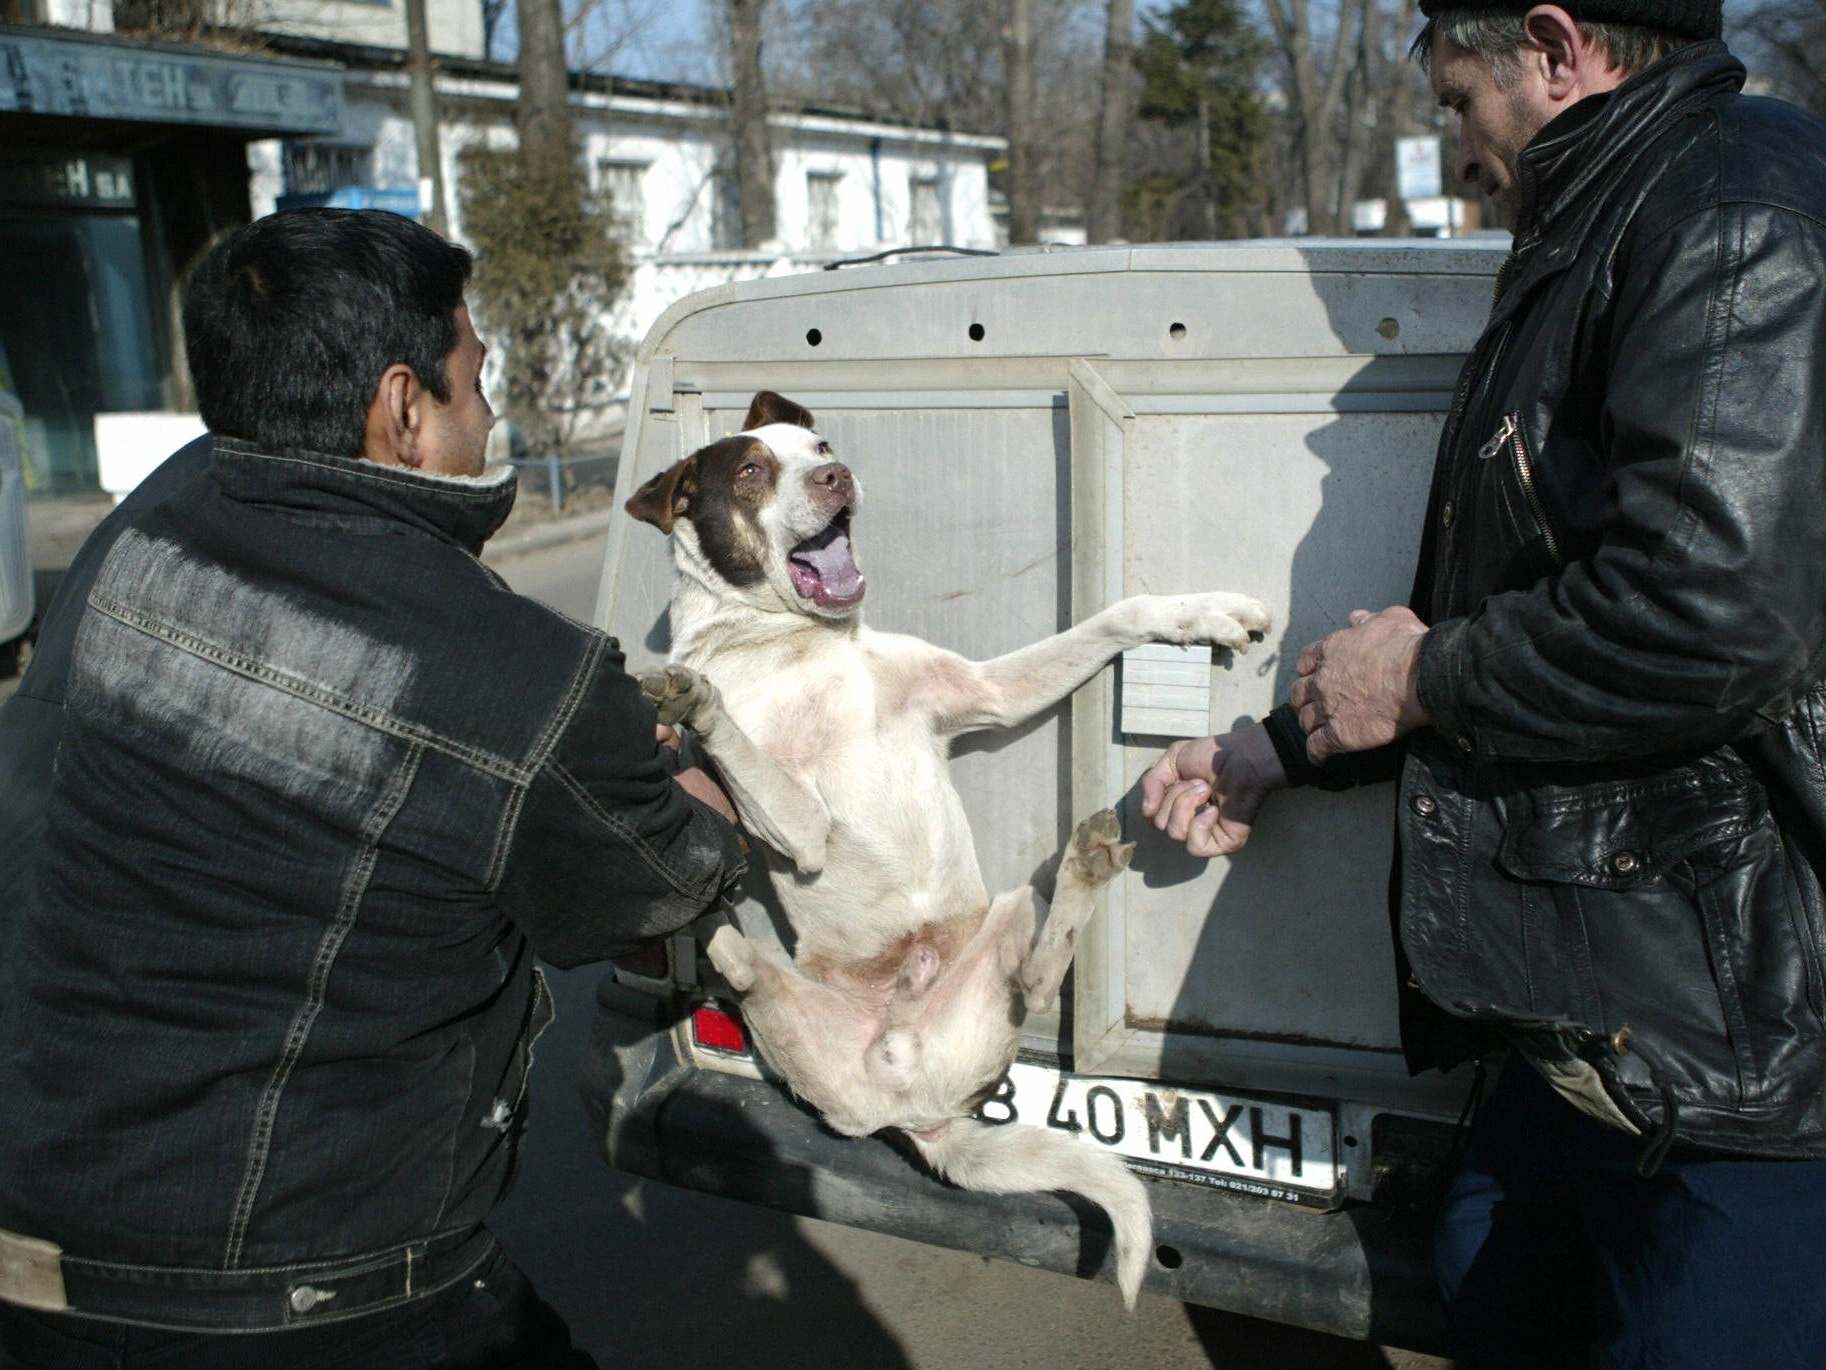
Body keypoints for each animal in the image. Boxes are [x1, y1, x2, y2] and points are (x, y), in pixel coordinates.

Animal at [628, 389, 1270, 1307]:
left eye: (819, 445)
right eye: (751, 471)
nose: (836, 476)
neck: (800, 641)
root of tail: (918, 1105)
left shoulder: (990, 695)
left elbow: (1115, 615)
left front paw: (1203, 610)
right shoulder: (803, 827)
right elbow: (738, 741)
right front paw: (690, 697)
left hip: (1008, 918)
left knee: (1032, 976)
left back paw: (1082, 866)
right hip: (787, 1009)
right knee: (746, 966)